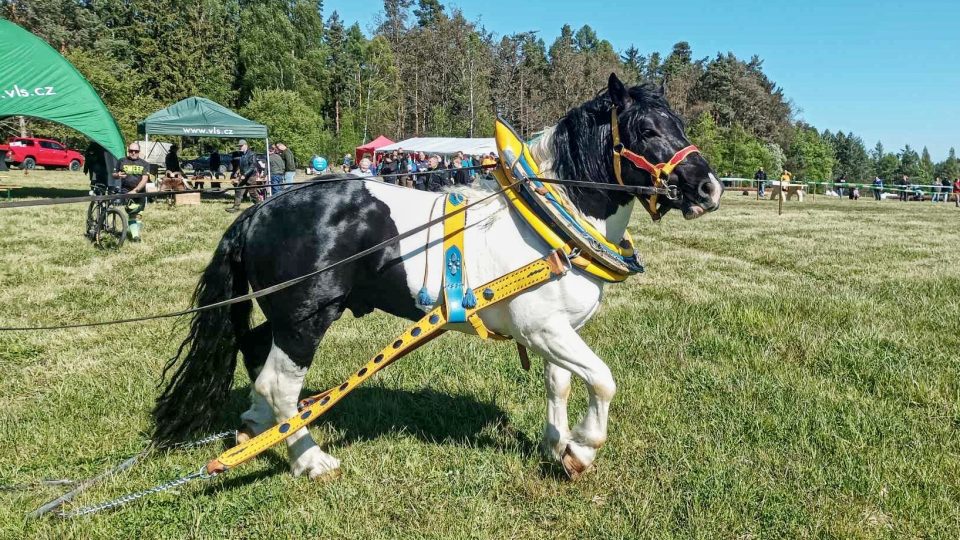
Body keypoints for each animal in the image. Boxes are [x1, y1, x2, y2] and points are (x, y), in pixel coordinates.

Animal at [154, 74, 720, 478]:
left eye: (680, 125)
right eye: (646, 130)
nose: (708, 187)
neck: (549, 219)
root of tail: (258, 210)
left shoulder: (558, 331)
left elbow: (560, 382)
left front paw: (556, 444)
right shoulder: (543, 329)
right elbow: (602, 380)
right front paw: (581, 448)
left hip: (283, 317)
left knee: (253, 352)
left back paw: (253, 426)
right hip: (305, 319)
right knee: (280, 384)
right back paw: (309, 459)